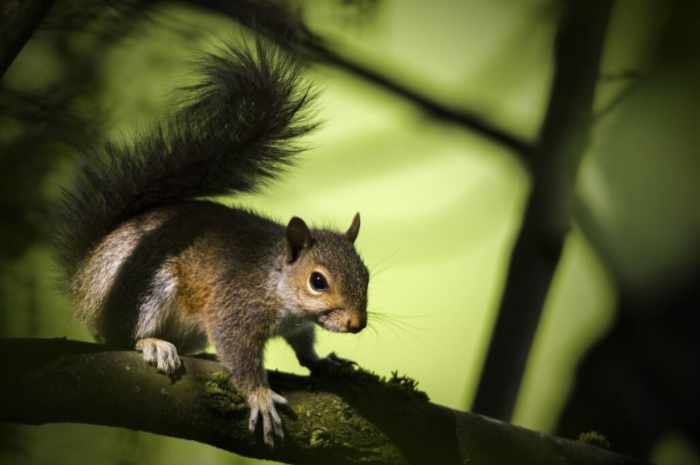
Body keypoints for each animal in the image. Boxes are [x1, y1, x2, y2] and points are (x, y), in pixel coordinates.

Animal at [54, 41, 369, 447]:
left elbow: (304, 348)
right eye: (318, 281)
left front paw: (325, 363)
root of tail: (83, 276)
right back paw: (154, 344)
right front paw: (260, 396)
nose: (357, 324)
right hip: (143, 290)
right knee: (121, 336)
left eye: (366, 274)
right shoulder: (234, 307)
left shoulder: (297, 325)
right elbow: (238, 354)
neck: (276, 281)